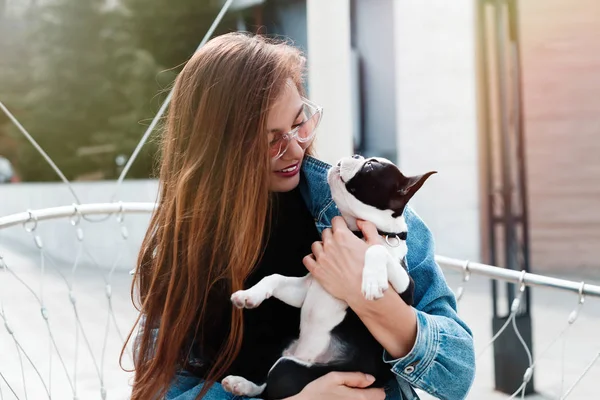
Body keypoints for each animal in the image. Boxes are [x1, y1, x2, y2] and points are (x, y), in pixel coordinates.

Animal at [223, 155, 434, 398]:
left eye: (370, 166)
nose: (355, 156)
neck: (358, 232)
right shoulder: (304, 289)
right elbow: (274, 277)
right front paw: (249, 295)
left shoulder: (405, 291)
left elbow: (376, 249)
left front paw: (372, 282)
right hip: (284, 350)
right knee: (266, 386)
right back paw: (239, 383)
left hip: (288, 369)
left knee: (272, 389)